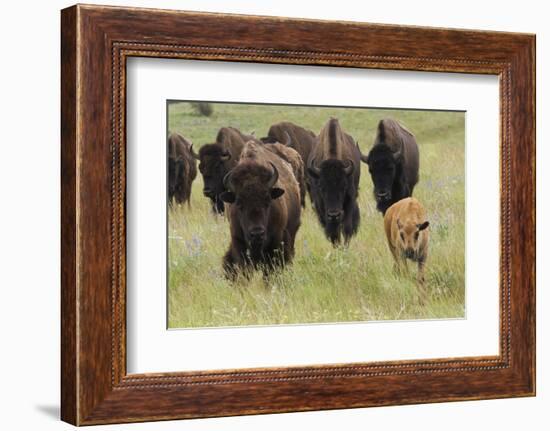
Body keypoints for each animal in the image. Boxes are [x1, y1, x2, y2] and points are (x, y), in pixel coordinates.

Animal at [306, 118, 362, 246]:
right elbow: (332, 231)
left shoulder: (350, 199)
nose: (334, 215)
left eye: (344, 186)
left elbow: (347, 227)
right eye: (321, 187)